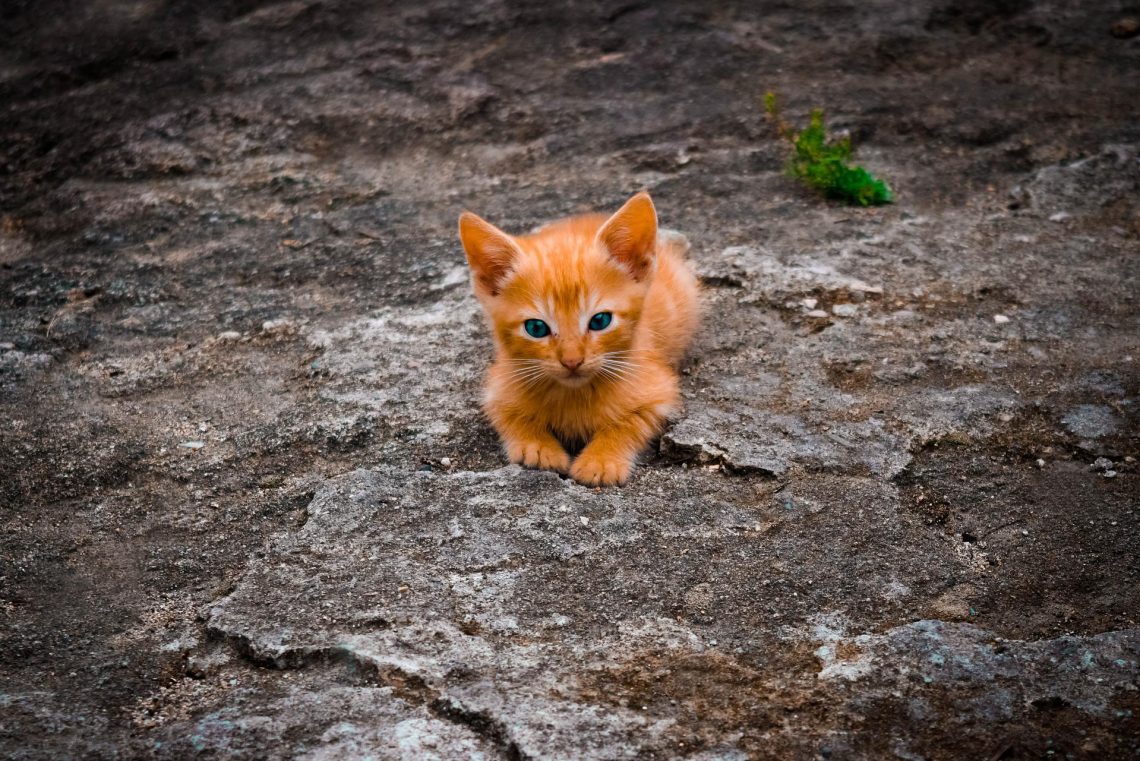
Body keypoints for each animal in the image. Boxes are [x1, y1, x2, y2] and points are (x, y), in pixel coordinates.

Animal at [458, 193, 697, 485]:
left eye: (600, 321)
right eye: (536, 328)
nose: (572, 361)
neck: (574, 393)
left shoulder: (658, 389)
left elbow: (631, 422)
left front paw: (601, 460)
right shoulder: (498, 386)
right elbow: (510, 415)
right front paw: (538, 447)